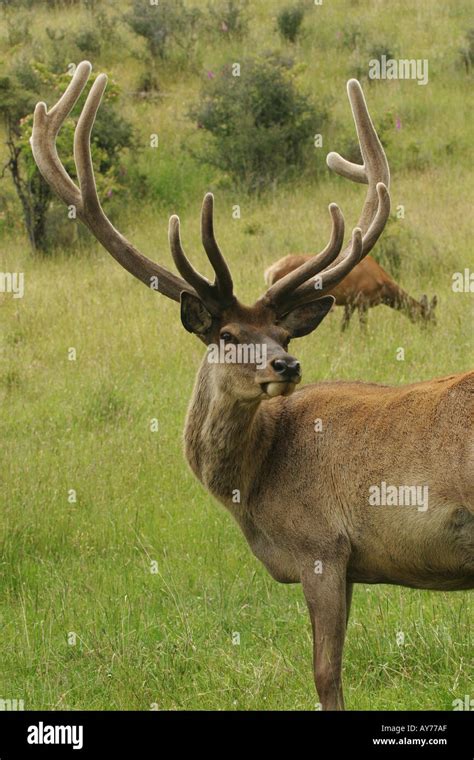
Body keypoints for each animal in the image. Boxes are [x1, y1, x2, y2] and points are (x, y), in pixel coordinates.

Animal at [262, 255, 436, 330]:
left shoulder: (350, 302)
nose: (430, 331)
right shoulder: (362, 300)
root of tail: (269, 271)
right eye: (428, 317)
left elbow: (344, 325)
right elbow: (363, 328)